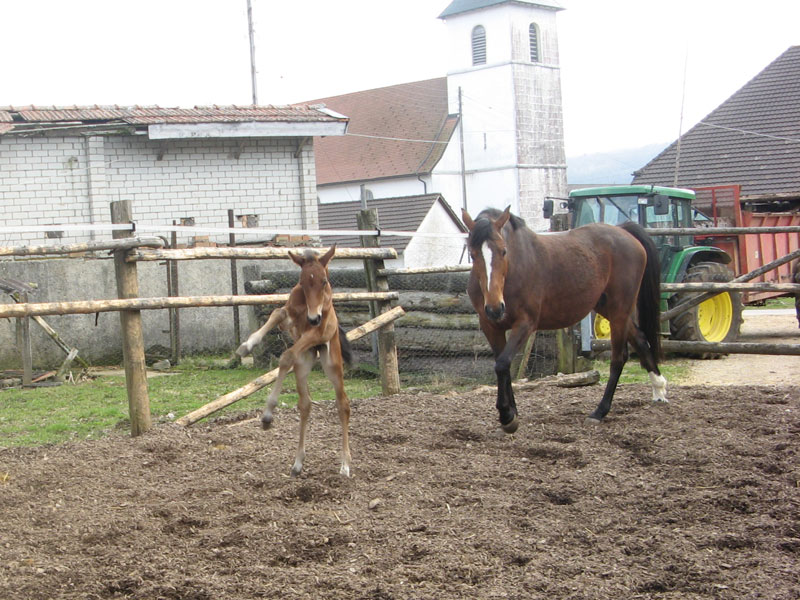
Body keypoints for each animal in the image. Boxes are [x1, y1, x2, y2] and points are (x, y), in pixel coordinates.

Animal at [236, 245, 354, 477]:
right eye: (302, 281)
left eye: (324, 281)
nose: (314, 318)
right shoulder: (289, 320)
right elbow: (276, 312)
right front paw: (247, 345)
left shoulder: (315, 333)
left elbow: (286, 355)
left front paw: (267, 414)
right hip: (303, 364)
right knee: (305, 404)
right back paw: (298, 463)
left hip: (331, 364)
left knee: (342, 404)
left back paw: (345, 464)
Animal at [462, 206, 667, 432]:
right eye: (472, 254)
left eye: (503, 251)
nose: (495, 308)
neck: (514, 270)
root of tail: (624, 232)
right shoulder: (490, 326)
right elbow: (502, 365)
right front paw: (512, 414)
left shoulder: (525, 324)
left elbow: (502, 364)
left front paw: (507, 415)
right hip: (609, 308)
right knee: (640, 339)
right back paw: (659, 389)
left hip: (620, 310)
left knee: (618, 358)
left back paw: (599, 412)